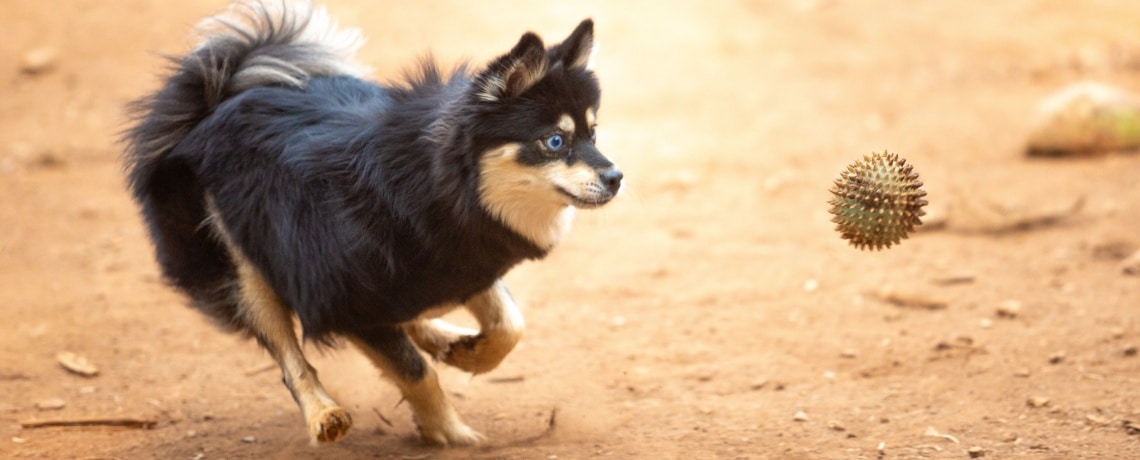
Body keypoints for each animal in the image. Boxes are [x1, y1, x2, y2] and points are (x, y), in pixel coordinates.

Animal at [122, 0, 624, 446]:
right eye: (555, 141)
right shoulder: (344, 296)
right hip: (243, 264)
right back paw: (323, 413)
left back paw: (443, 338)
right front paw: (449, 432)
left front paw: (472, 357)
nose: (616, 177)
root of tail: (218, 96)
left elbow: (509, 325)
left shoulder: (463, 256)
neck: (441, 184)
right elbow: (416, 372)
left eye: (593, 133)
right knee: (288, 352)